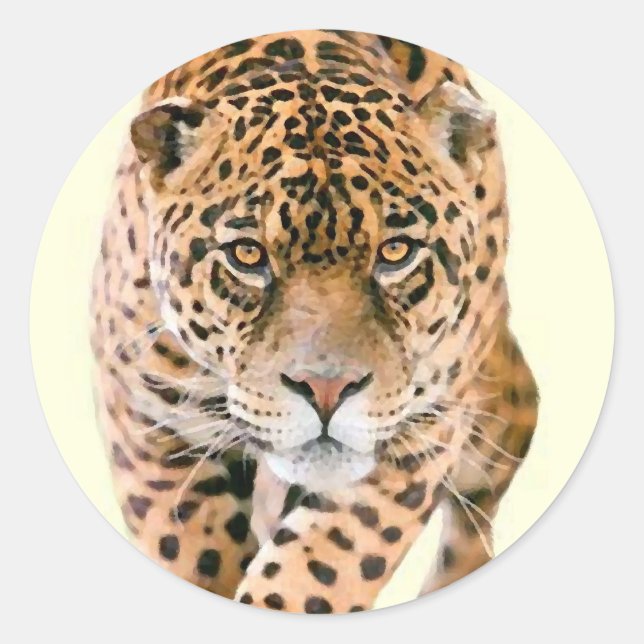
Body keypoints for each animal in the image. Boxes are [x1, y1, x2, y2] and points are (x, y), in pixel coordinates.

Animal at [91, 29, 538, 613]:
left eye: (396, 251)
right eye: (248, 255)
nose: (326, 390)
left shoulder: (420, 433)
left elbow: (314, 571)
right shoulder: (152, 421)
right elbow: (194, 552)